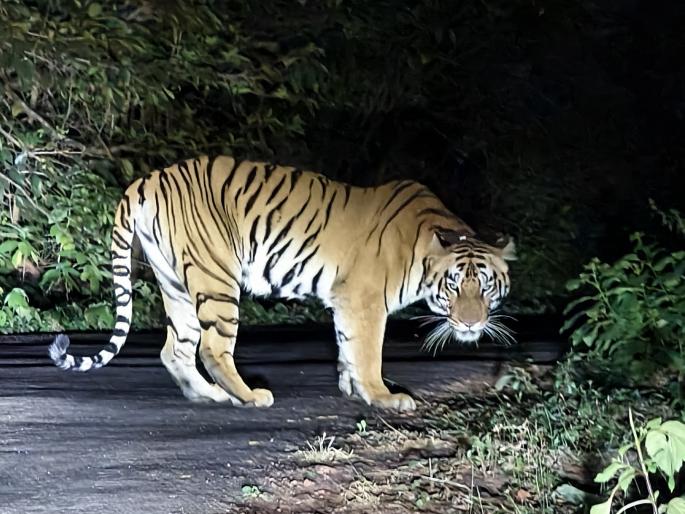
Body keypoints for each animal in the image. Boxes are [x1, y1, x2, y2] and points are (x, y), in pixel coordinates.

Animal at [49, 155, 515, 411]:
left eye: (485, 285)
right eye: (454, 284)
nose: (471, 324)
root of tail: (149, 178)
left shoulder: (345, 302)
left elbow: (346, 348)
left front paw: (352, 390)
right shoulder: (365, 302)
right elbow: (368, 353)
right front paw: (382, 396)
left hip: (175, 283)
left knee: (174, 349)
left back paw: (209, 397)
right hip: (217, 277)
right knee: (213, 347)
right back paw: (250, 396)